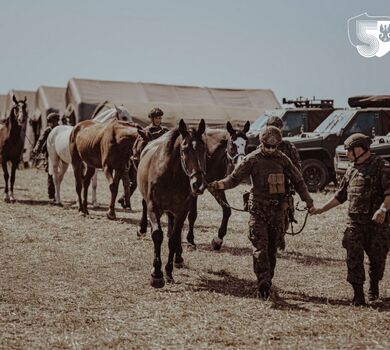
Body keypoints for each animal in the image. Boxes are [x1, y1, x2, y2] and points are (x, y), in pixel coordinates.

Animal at [139, 119, 209, 288]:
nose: (198, 184)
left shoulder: (181, 211)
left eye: (204, 149)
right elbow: (157, 235)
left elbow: (173, 238)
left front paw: (168, 271)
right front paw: (156, 274)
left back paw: (178, 258)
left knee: (173, 232)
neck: (172, 176)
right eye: (184, 149)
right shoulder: (154, 207)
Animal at [186, 121, 250, 250]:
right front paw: (190, 240)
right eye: (231, 143)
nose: (241, 164)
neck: (208, 158)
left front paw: (218, 239)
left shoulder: (216, 187)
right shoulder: (193, 191)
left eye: (246, 143)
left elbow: (227, 210)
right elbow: (192, 215)